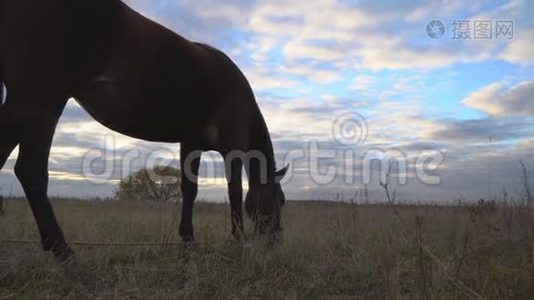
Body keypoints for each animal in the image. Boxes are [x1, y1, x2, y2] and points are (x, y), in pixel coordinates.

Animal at [0, 0, 292, 260]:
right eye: (281, 199)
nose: (276, 240)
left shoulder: (191, 144)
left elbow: (190, 190)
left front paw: (188, 241)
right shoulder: (233, 146)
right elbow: (234, 192)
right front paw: (238, 240)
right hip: (41, 100)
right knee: (31, 170)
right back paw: (64, 252)